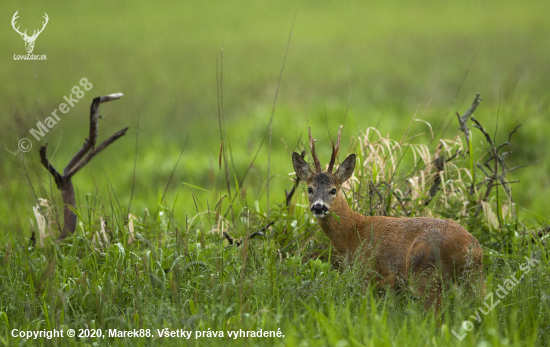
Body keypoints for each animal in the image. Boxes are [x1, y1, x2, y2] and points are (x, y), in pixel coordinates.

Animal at [292, 127, 486, 312]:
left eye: (333, 190)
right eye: (309, 189)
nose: (319, 207)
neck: (353, 233)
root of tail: (470, 244)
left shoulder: (366, 272)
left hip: (424, 273)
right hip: (473, 277)